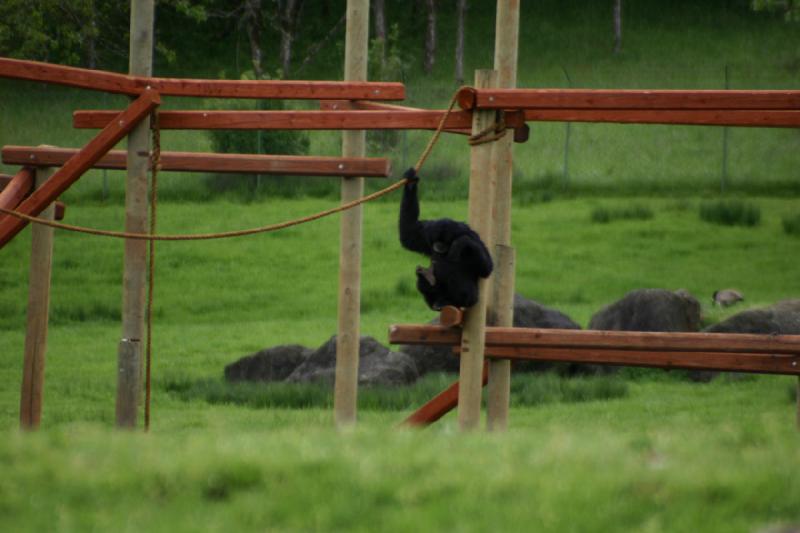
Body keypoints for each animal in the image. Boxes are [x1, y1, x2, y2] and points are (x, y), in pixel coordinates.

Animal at [396, 168, 490, 310]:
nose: (438, 245)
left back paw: (449, 301)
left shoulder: (472, 235)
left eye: (444, 241)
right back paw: (430, 285)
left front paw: (460, 242)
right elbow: (409, 236)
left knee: (449, 269)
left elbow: (486, 268)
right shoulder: (427, 230)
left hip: (472, 298)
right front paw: (411, 182)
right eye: (436, 240)